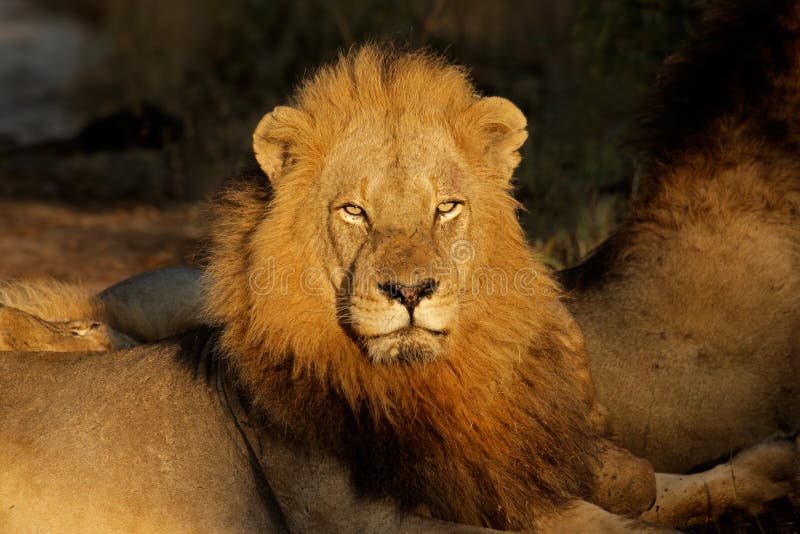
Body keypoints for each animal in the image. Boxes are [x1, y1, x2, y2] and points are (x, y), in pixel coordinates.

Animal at [0, 47, 656, 534]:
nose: (410, 291)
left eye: (446, 208)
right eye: (354, 212)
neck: (427, 388)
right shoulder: (358, 518)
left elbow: (633, 480)